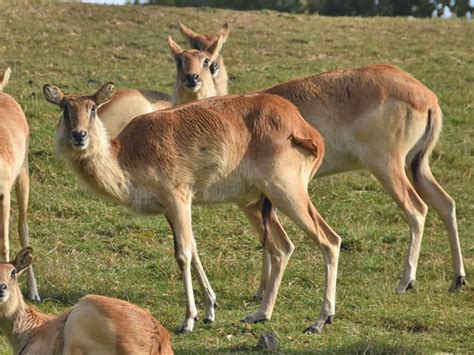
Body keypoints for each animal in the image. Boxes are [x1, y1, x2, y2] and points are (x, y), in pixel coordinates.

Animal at [43, 82, 340, 336]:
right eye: (65, 108)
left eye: (93, 108)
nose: (79, 135)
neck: (130, 155)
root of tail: (304, 129)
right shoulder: (171, 208)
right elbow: (194, 248)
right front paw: (209, 310)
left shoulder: (178, 197)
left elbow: (183, 254)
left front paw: (188, 320)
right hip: (254, 202)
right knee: (282, 247)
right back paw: (260, 314)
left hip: (286, 192)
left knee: (329, 240)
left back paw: (320, 321)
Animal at [252, 64, 466, 306]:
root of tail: (425, 96)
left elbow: (267, 238)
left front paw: (261, 292)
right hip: (417, 167)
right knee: (446, 203)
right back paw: (457, 279)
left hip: (387, 168)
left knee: (417, 209)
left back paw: (406, 282)